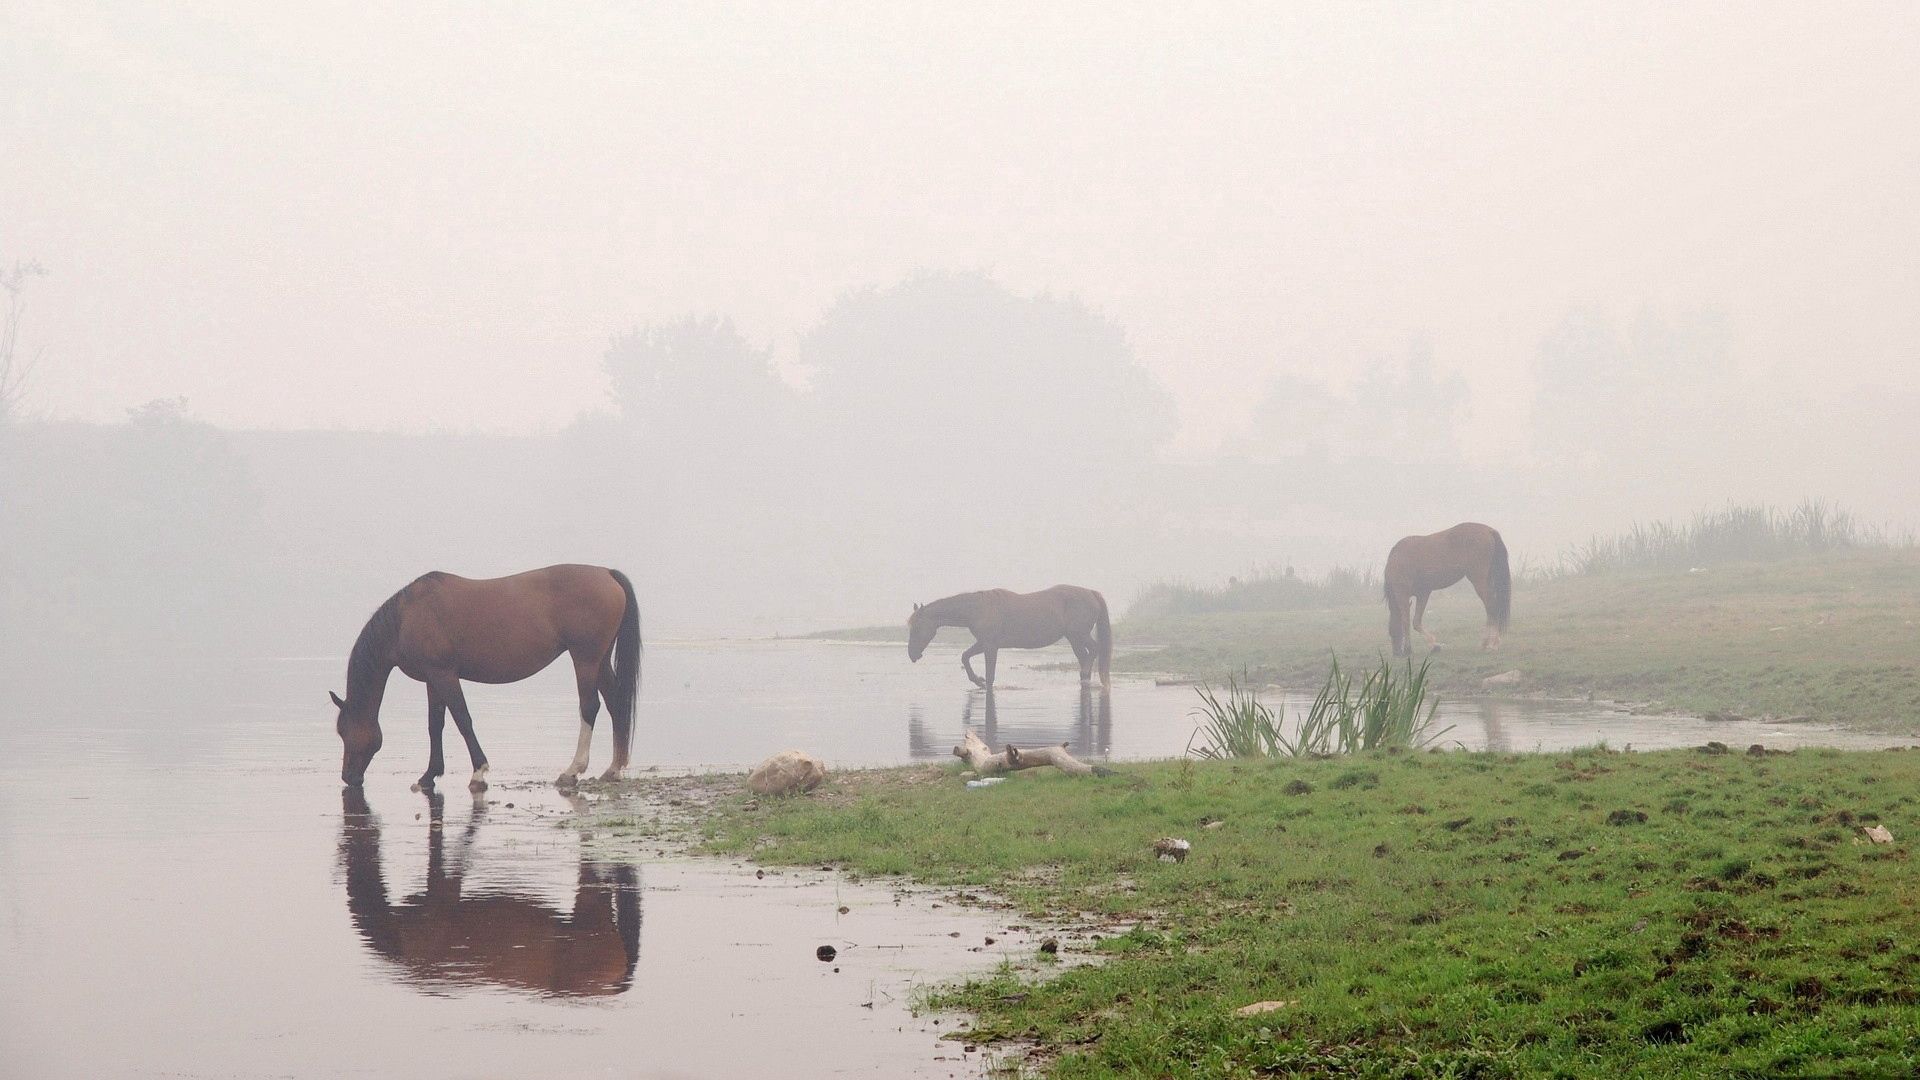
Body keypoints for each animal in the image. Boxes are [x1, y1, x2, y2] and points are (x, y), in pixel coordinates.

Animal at [326, 564, 633, 791]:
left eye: (344, 731)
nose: (348, 777)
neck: (406, 617)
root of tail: (606, 573)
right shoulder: (432, 679)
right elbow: (435, 724)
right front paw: (429, 775)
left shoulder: (445, 675)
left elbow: (462, 719)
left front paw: (478, 772)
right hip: (600, 661)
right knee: (615, 703)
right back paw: (613, 769)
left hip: (585, 659)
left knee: (590, 707)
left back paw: (572, 771)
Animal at [910, 584, 1121, 684]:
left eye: (916, 627)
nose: (912, 655)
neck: (978, 609)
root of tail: (1092, 593)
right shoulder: (983, 643)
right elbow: (965, 656)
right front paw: (977, 680)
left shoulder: (990, 646)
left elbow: (991, 675)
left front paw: (983, 682)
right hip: (1074, 639)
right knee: (1086, 656)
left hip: (1078, 635)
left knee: (1094, 650)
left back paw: (1085, 673)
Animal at [1390, 522, 1505, 657]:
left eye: (1391, 631)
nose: (1396, 653)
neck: (1396, 559)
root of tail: (1488, 530)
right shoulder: (1423, 593)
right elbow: (1416, 622)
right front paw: (1434, 646)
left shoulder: (1402, 594)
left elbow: (1406, 621)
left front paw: (1408, 649)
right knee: (1491, 608)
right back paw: (1487, 643)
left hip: (1479, 582)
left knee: (1492, 607)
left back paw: (1492, 644)